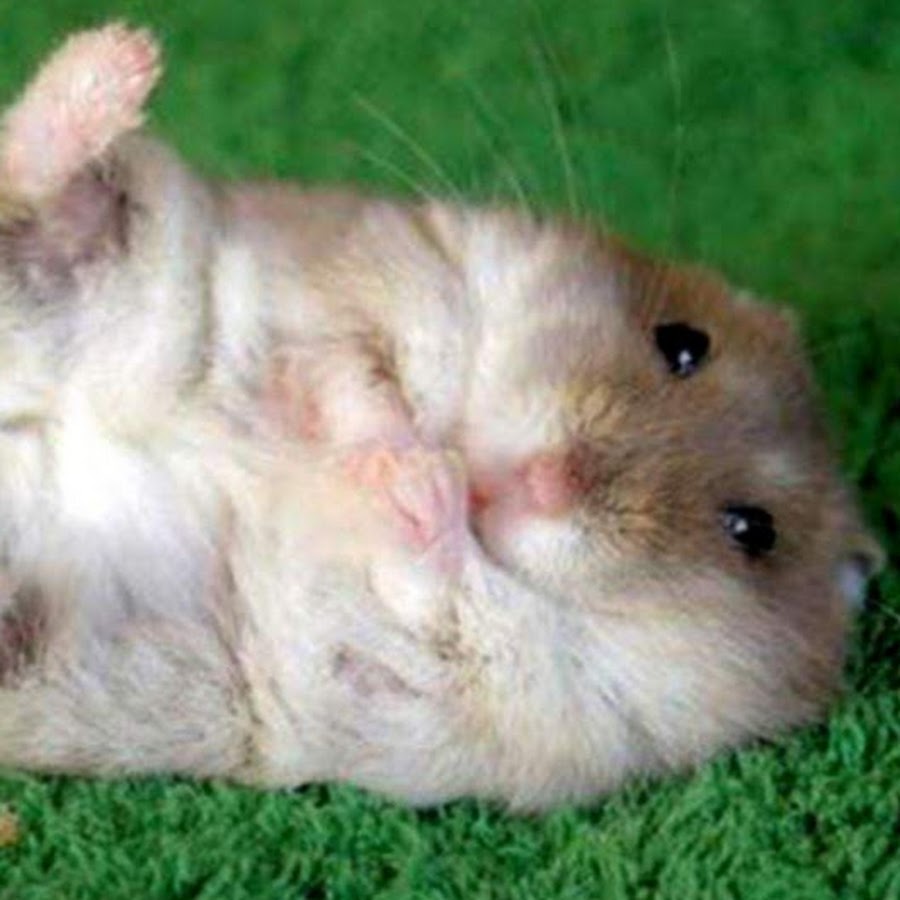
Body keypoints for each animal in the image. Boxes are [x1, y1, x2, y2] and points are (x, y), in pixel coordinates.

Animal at [0, 25, 883, 809]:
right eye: (683, 343)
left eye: (752, 530)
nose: (538, 482)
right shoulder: (383, 277)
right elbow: (354, 374)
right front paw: (389, 446)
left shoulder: (516, 692)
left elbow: (437, 574)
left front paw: (413, 478)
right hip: (120, 270)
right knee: (39, 189)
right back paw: (122, 59)